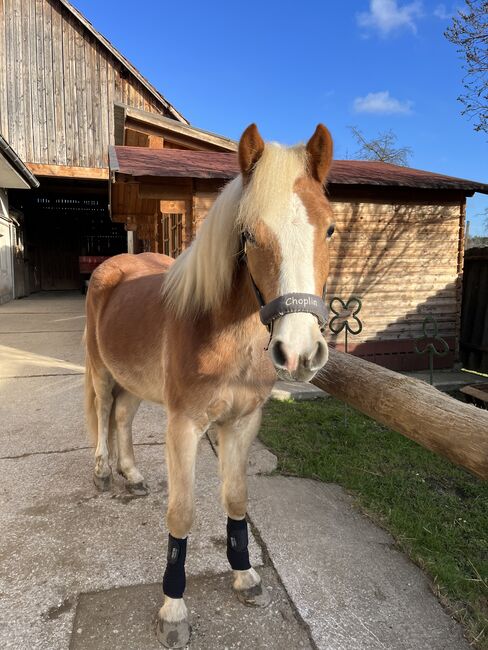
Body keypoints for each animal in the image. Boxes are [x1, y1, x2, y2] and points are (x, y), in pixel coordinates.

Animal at [84, 121, 336, 644]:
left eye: (329, 228)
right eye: (250, 234)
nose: (300, 351)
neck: (224, 333)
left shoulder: (241, 423)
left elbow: (236, 499)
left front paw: (244, 575)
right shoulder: (184, 425)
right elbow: (182, 513)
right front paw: (173, 609)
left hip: (135, 384)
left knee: (122, 418)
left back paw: (131, 474)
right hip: (102, 371)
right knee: (101, 411)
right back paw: (103, 472)